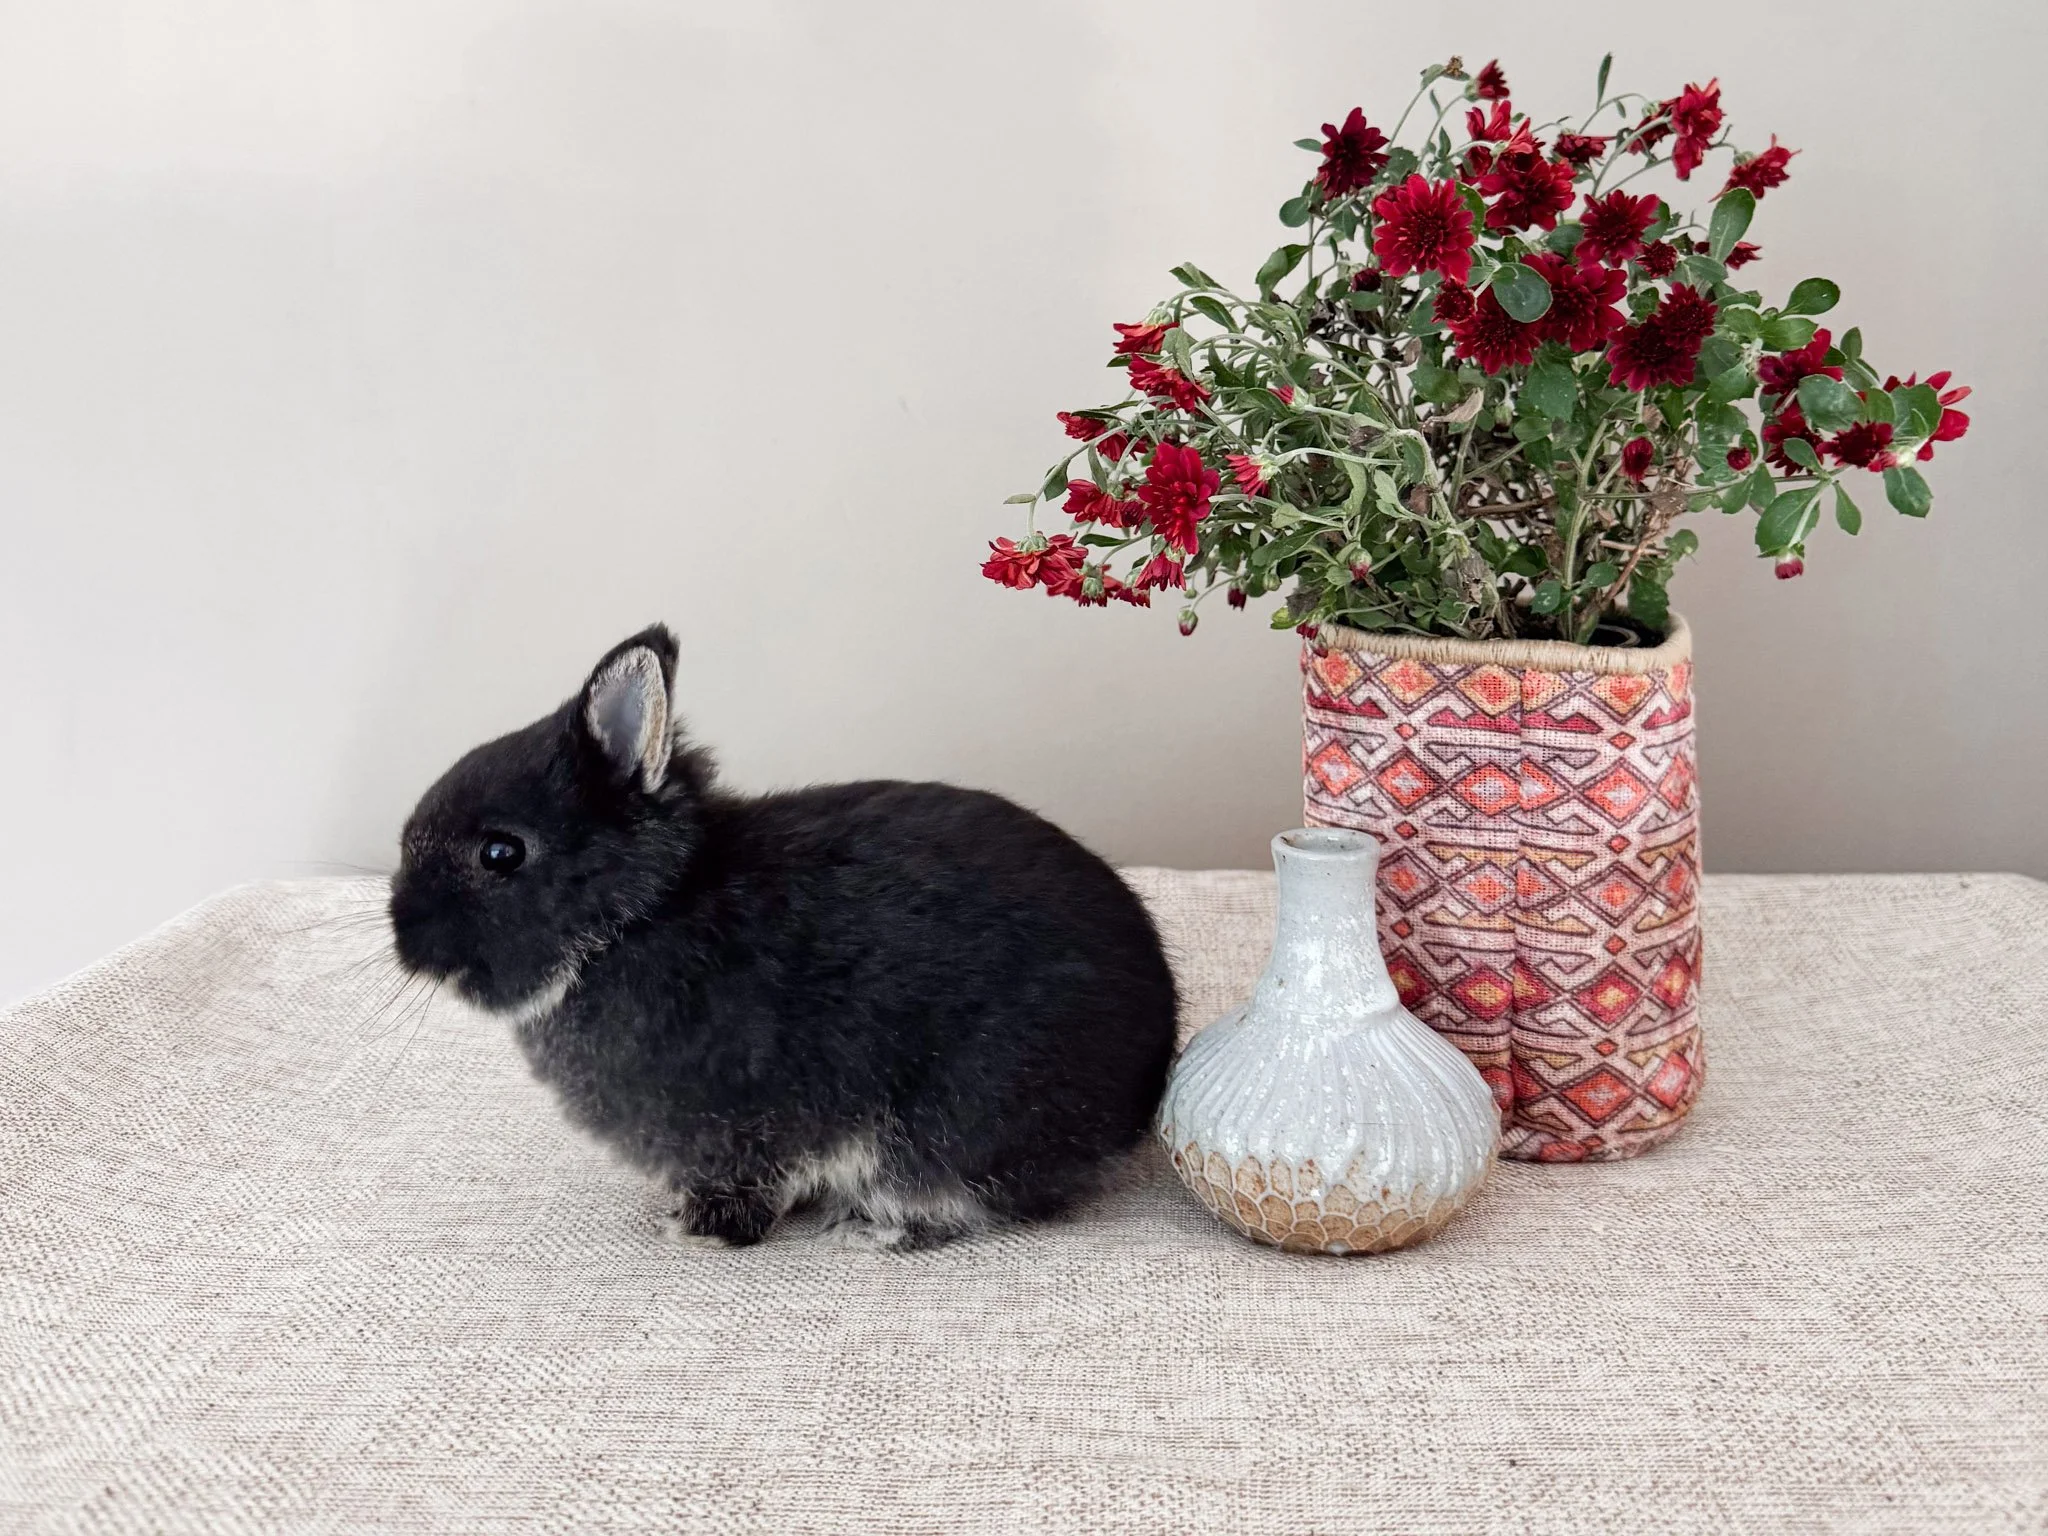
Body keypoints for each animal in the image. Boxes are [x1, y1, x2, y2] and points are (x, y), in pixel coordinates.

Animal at [387, 624, 1180, 1251]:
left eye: (501, 853)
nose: (402, 935)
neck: (639, 916)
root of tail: (1144, 1089)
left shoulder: (740, 1129)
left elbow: (749, 1183)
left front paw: (699, 1231)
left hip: (965, 1115)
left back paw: (875, 1228)